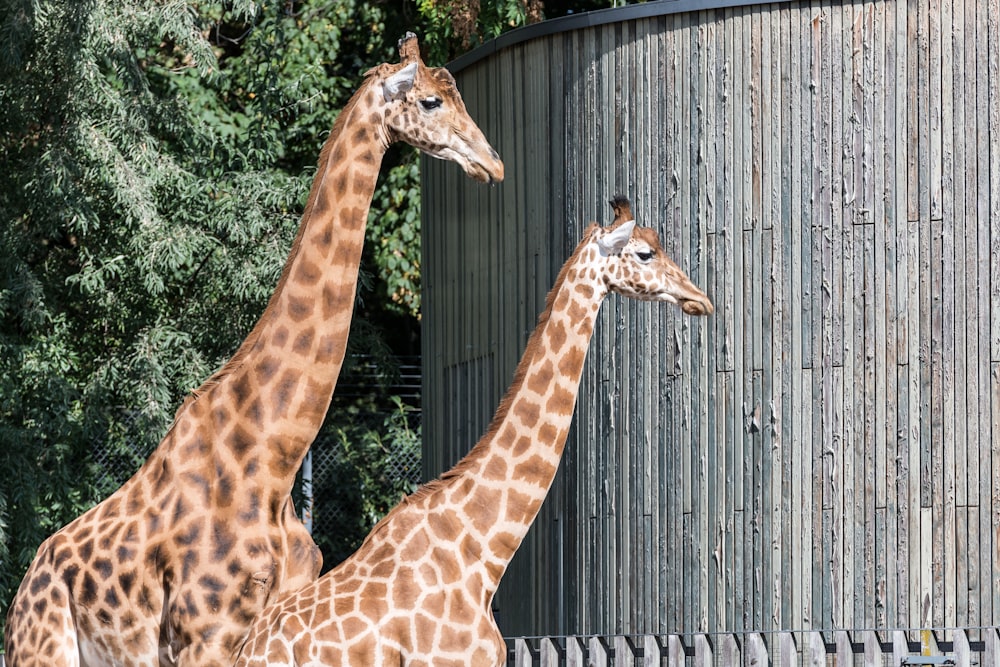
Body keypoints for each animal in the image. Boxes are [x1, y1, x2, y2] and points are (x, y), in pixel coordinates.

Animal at [3, 35, 504, 667]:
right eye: (432, 101)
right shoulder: (202, 633)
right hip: (44, 647)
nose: (493, 162)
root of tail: (21, 595)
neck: (274, 454)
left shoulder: (278, 620)